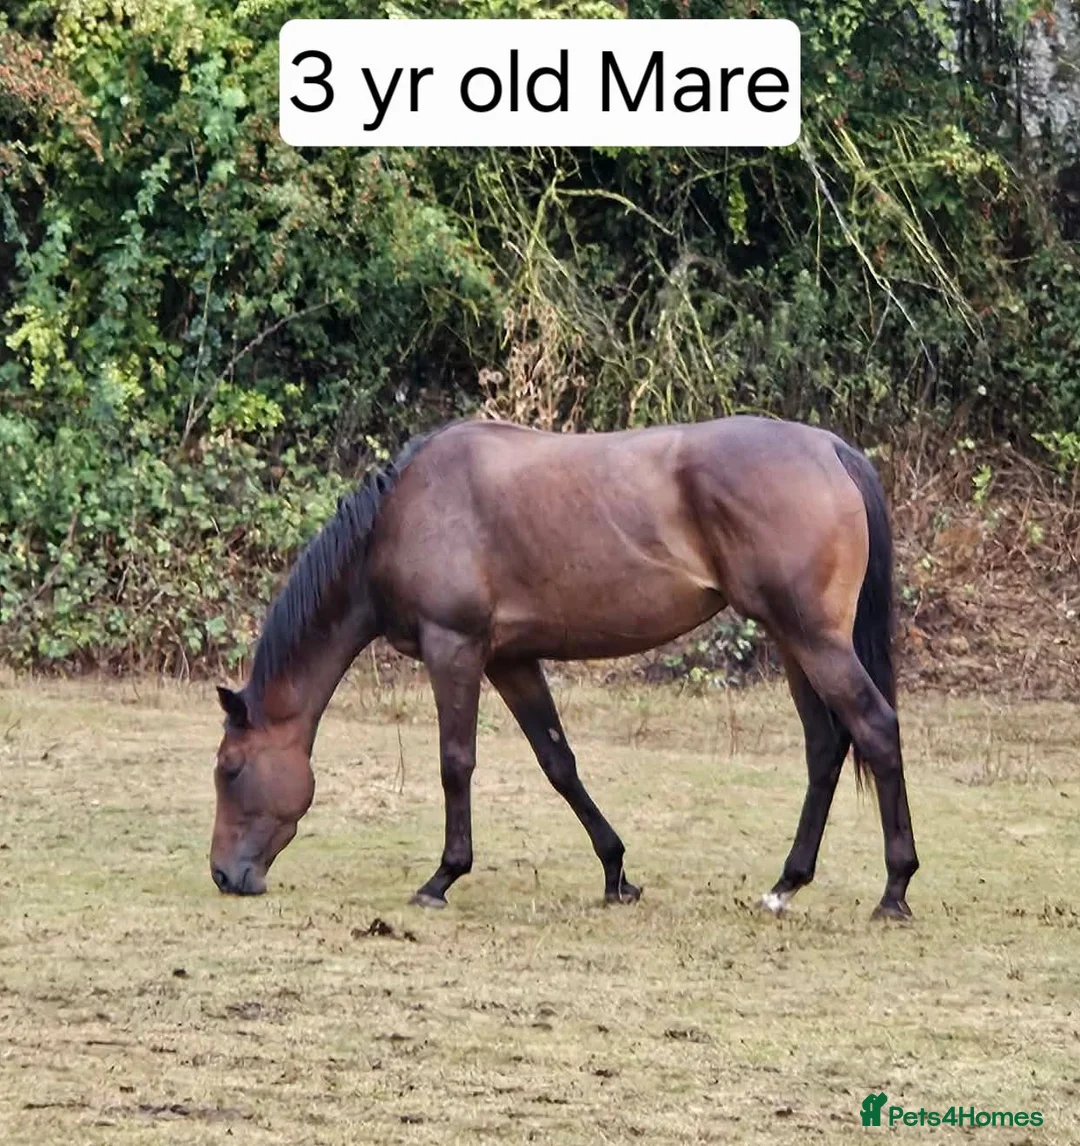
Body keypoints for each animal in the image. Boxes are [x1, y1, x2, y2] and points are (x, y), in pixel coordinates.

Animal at [209, 415, 919, 920]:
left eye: (230, 770)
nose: (223, 875)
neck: (404, 514)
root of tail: (830, 448)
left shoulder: (455, 648)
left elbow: (455, 762)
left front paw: (442, 877)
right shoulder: (511, 659)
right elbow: (559, 763)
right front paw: (616, 873)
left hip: (814, 639)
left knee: (877, 729)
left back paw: (894, 890)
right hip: (794, 642)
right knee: (825, 746)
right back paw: (785, 886)